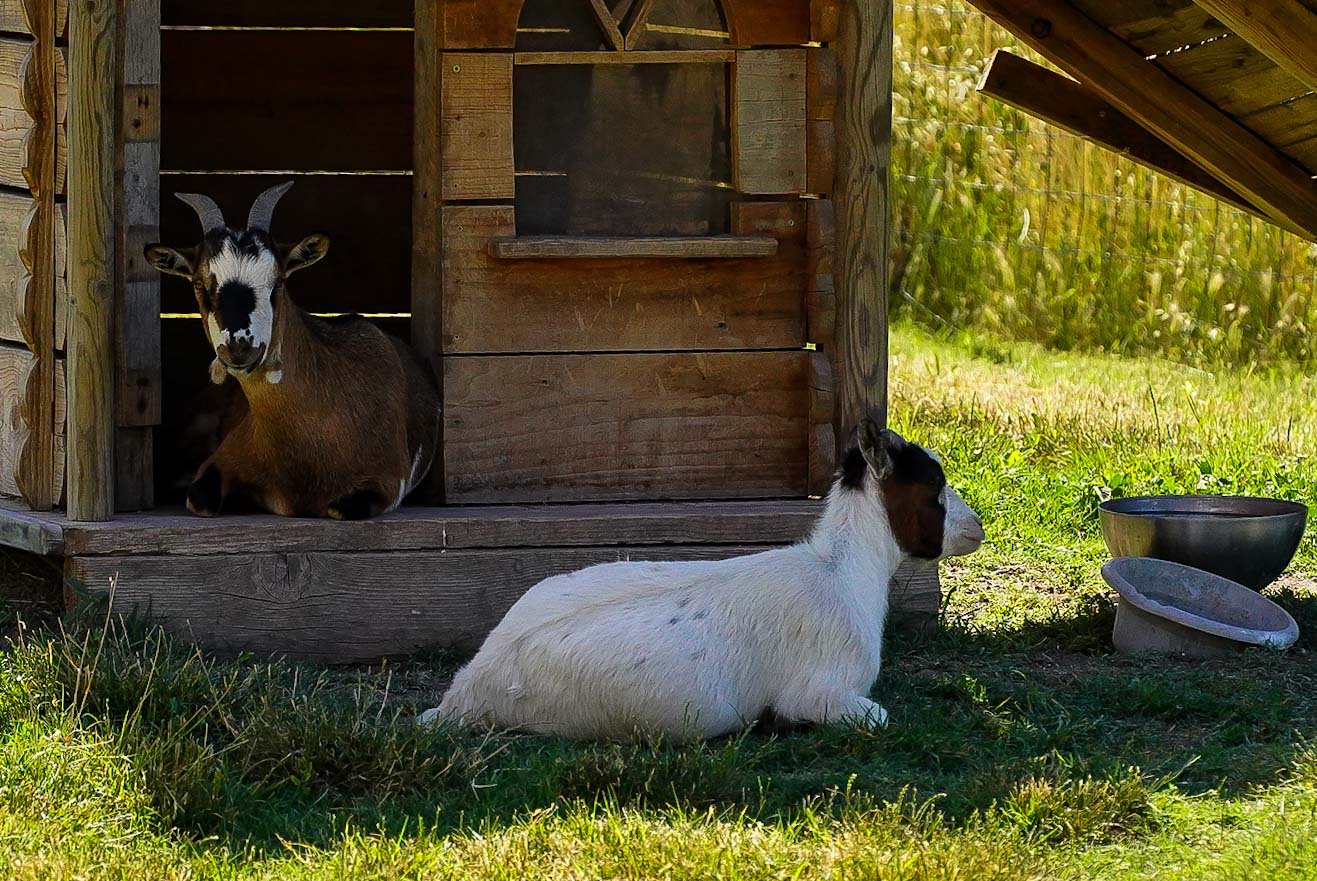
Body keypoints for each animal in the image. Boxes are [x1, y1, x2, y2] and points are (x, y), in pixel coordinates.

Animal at [145, 182, 441, 520]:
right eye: (199, 284)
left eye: (278, 282)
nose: (239, 347)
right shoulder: (216, 466)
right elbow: (200, 499)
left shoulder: (386, 482)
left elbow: (341, 508)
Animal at [420, 419, 984, 740]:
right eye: (934, 485)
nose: (977, 527)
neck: (840, 572)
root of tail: (466, 691)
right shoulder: (822, 692)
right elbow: (871, 716)